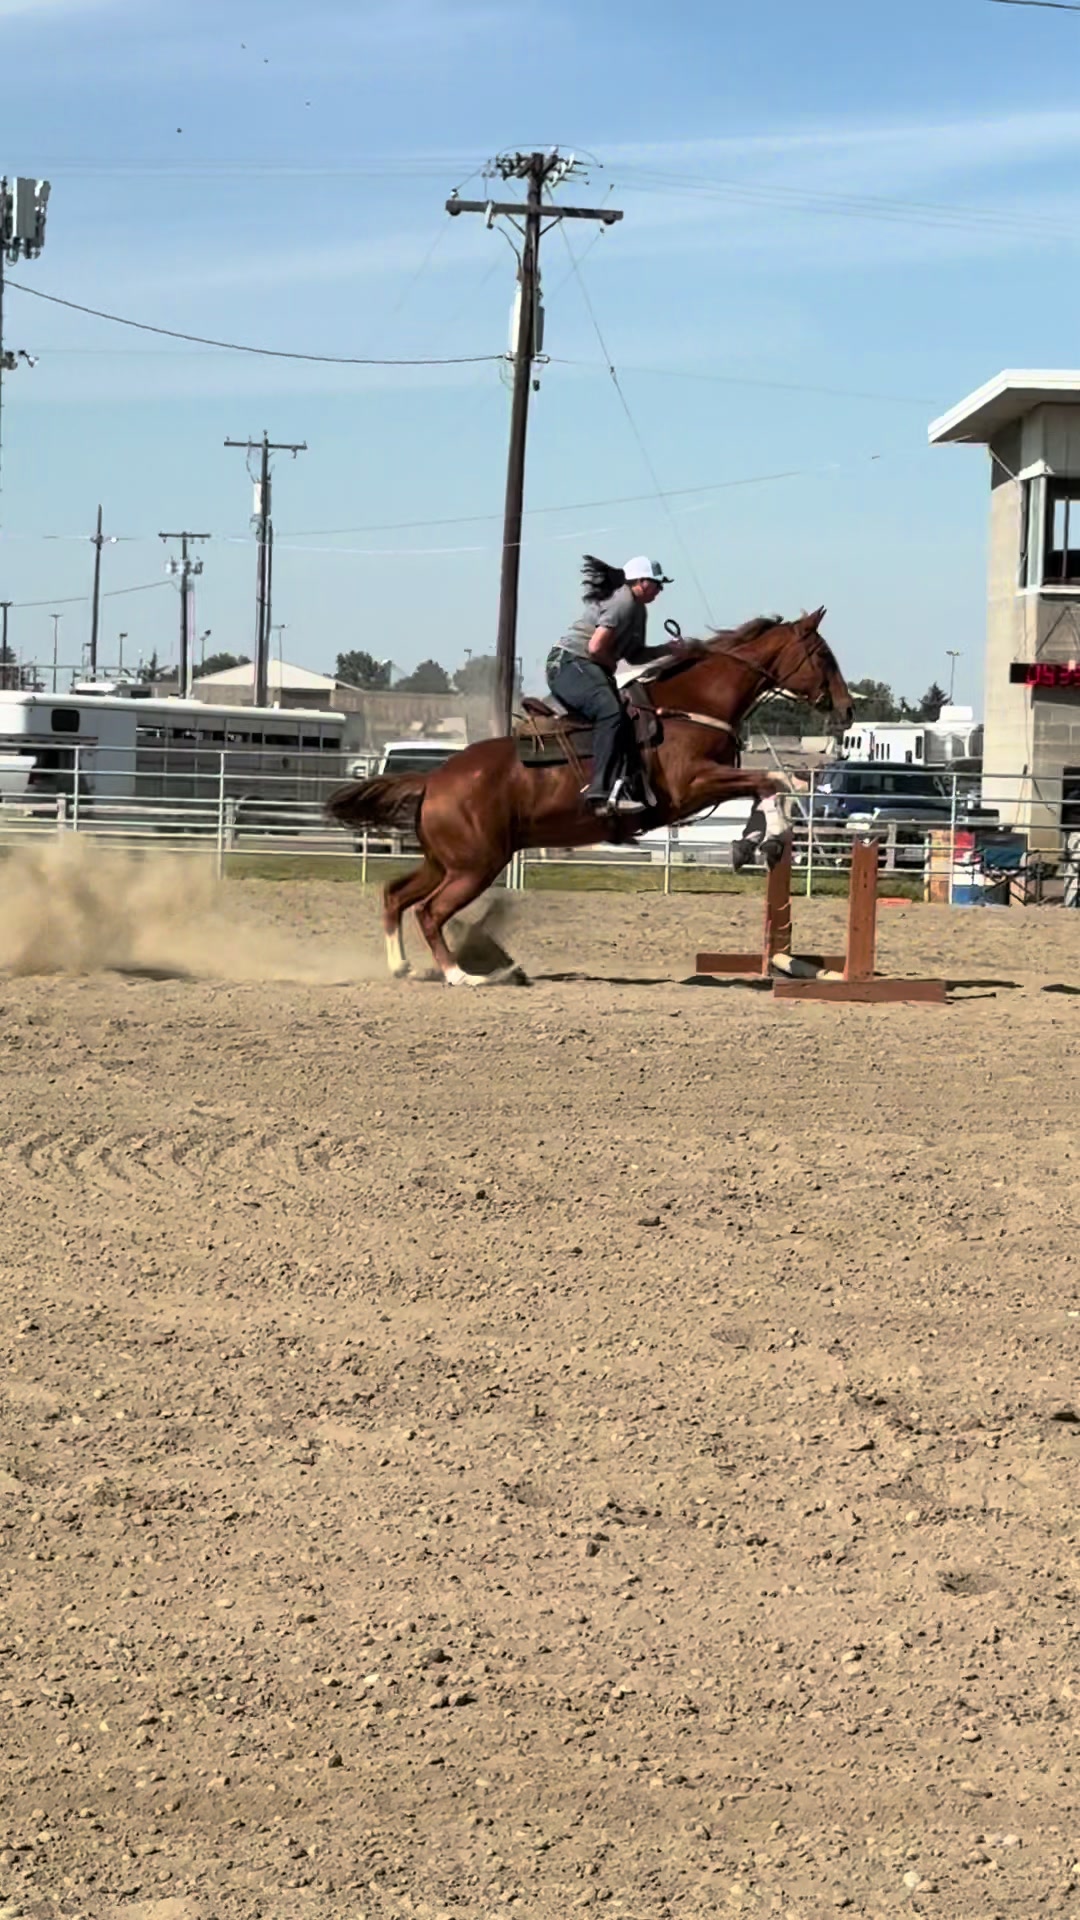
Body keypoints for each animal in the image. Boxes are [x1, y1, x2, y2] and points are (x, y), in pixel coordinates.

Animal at [326, 607, 853, 984]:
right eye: (824, 657)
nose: (848, 710)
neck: (689, 705)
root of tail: (435, 780)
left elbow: (767, 785)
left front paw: (751, 844)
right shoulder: (692, 786)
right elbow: (773, 781)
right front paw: (768, 841)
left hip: (447, 863)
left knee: (396, 895)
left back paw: (404, 967)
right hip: (474, 867)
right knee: (430, 912)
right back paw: (463, 976)